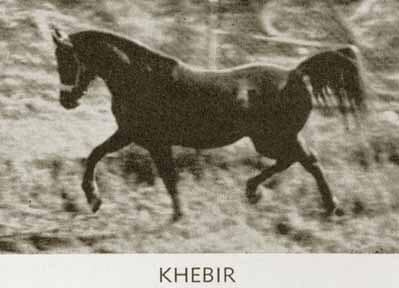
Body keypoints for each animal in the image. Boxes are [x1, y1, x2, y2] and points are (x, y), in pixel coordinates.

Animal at [51, 27, 368, 220]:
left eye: (67, 60)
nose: (66, 100)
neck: (140, 78)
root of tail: (295, 72)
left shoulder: (148, 139)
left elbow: (165, 176)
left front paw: (177, 216)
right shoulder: (133, 135)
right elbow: (98, 154)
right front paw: (94, 199)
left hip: (273, 138)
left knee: (303, 161)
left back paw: (322, 205)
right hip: (275, 138)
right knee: (303, 160)